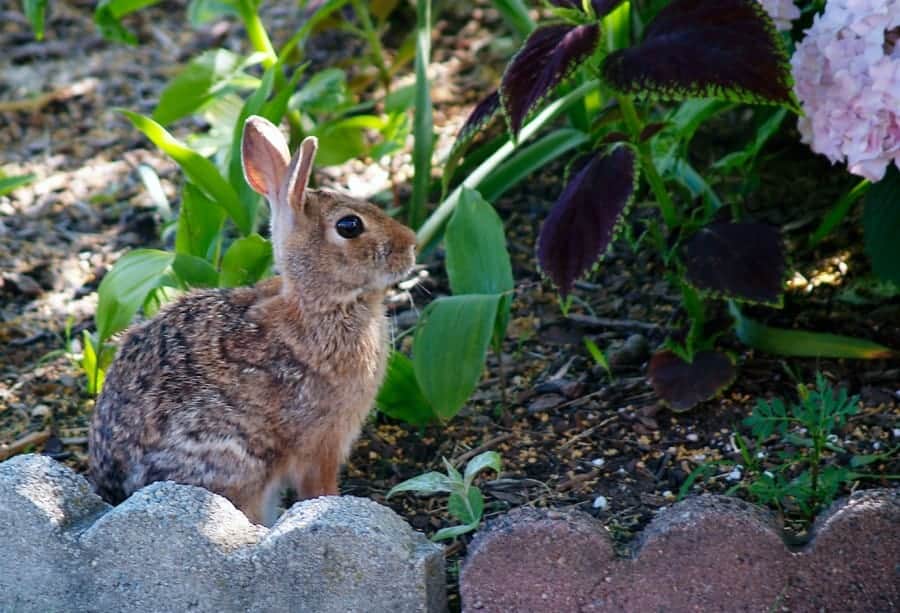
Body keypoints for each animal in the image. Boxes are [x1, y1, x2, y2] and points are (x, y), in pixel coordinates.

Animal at [88, 116, 418, 524]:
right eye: (349, 226)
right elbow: (318, 488)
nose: (412, 243)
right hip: (235, 464)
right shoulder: (321, 442)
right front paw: (328, 507)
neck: (318, 303)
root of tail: (116, 494)